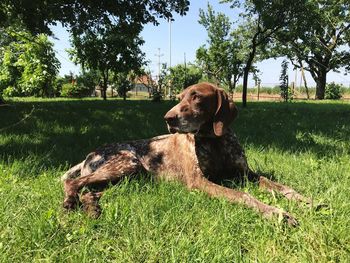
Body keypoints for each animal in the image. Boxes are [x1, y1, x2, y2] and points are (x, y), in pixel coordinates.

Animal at [61, 83, 310, 227]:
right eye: (179, 97)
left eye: (196, 96)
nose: (168, 118)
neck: (213, 139)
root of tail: (88, 155)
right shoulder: (199, 181)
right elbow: (243, 195)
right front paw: (276, 213)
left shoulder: (245, 174)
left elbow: (277, 185)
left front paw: (303, 199)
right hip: (127, 163)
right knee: (72, 183)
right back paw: (69, 203)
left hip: (126, 178)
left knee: (89, 192)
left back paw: (92, 209)